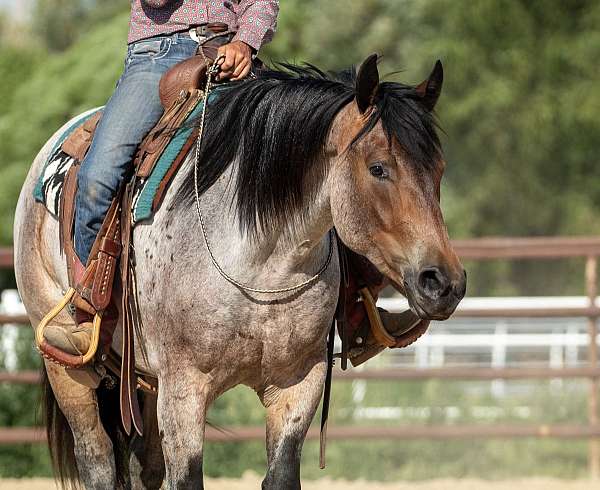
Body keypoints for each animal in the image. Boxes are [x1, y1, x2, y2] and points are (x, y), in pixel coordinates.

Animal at [12, 54, 464, 490]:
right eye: (378, 168)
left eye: (441, 170)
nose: (445, 283)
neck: (262, 263)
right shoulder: (184, 391)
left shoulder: (298, 383)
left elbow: (280, 475)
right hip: (69, 369)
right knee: (98, 460)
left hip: (143, 380)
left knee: (145, 468)